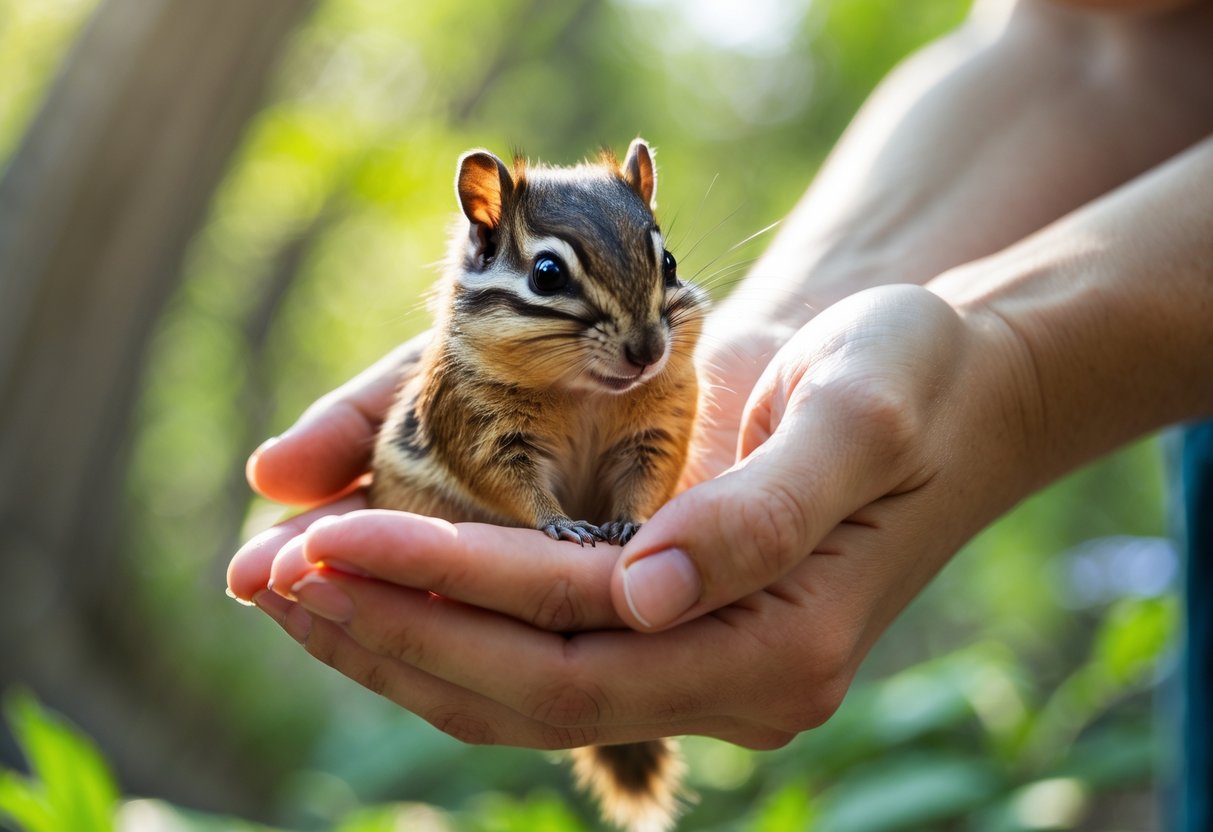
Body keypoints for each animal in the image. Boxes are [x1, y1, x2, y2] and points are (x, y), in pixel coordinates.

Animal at [369, 138, 708, 831]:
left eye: (668, 261)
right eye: (547, 274)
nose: (648, 350)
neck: (585, 394)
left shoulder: (659, 428)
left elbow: (648, 481)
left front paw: (629, 522)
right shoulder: (481, 431)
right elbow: (513, 487)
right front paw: (561, 523)